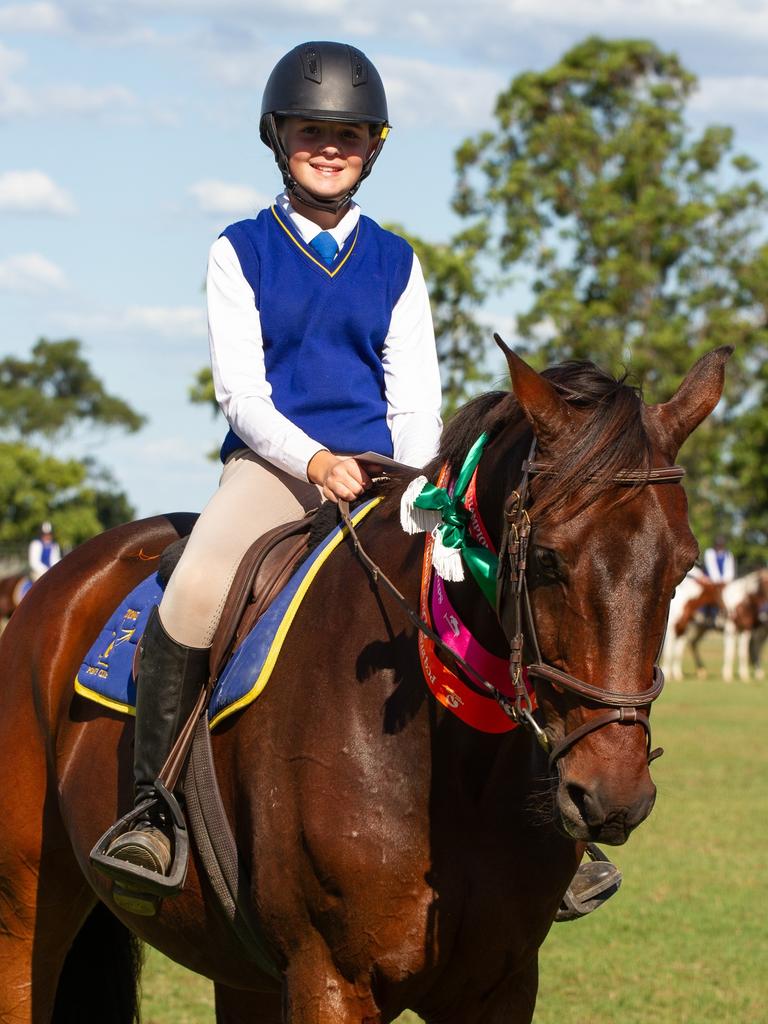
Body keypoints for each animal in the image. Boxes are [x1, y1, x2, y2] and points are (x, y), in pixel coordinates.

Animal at [0, 346, 729, 1024]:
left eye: (682, 565)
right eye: (547, 560)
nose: (614, 795)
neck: (452, 761)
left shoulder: (499, 986)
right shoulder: (331, 980)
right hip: (26, 911)